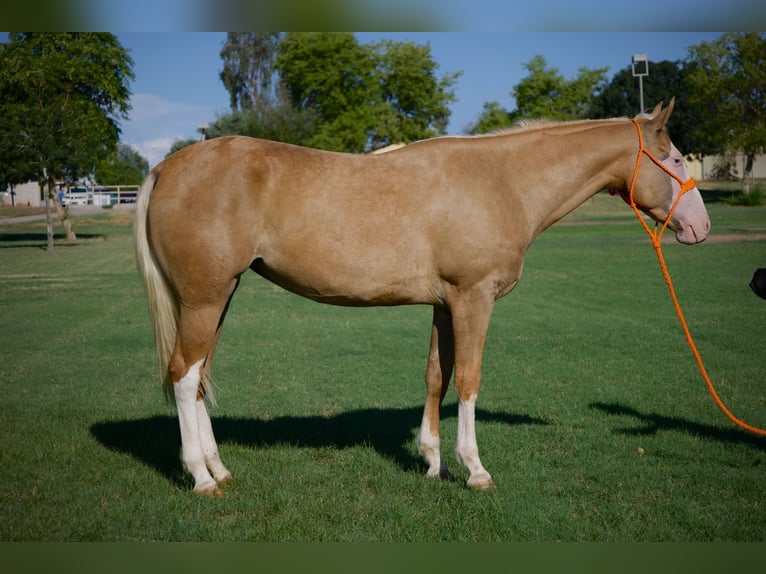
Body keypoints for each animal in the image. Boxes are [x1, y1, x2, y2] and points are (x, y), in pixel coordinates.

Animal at [134, 100, 710, 495]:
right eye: (676, 158)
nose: (701, 227)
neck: (502, 180)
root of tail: (167, 167)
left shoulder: (444, 303)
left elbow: (438, 375)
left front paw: (434, 462)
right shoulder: (474, 298)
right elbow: (470, 379)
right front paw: (474, 468)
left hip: (218, 298)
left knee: (198, 376)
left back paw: (219, 469)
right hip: (205, 299)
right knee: (184, 376)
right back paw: (201, 478)